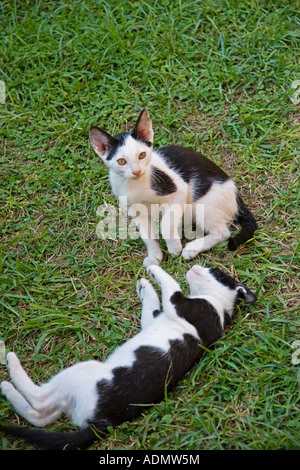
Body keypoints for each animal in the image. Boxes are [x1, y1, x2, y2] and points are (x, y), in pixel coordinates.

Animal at [0, 262, 255, 450]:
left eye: (215, 271)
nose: (194, 265)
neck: (218, 305)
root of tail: (103, 422)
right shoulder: (154, 318)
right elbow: (151, 303)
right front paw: (145, 285)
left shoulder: (180, 305)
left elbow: (170, 284)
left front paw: (153, 267)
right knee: (41, 416)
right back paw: (9, 389)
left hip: (83, 372)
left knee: (39, 399)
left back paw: (10, 367)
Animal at [89, 108, 258, 266]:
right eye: (121, 161)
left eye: (142, 155)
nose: (137, 171)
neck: (135, 185)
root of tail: (236, 196)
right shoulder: (134, 209)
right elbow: (147, 235)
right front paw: (154, 256)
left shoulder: (178, 190)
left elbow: (165, 224)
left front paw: (174, 248)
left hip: (205, 203)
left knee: (222, 232)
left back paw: (192, 247)